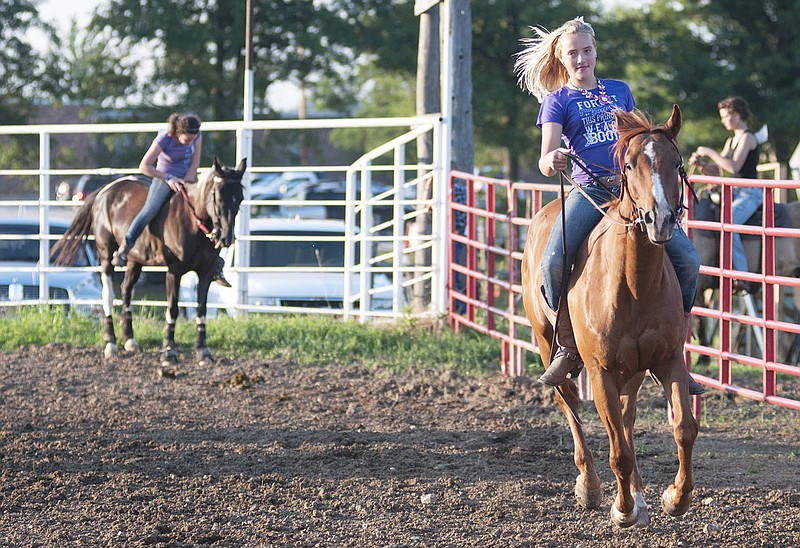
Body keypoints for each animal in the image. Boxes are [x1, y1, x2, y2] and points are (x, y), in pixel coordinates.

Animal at [51, 156, 245, 366]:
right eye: (218, 196)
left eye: (240, 198)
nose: (226, 238)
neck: (193, 222)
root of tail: (105, 190)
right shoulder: (174, 271)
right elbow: (172, 309)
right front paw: (169, 353)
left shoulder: (206, 272)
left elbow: (202, 309)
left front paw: (203, 352)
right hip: (105, 254)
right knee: (108, 295)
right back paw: (110, 343)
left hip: (135, 260)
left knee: (126, 290)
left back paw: (129, 339)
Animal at [520, 105, 696, 528]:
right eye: (629, 165)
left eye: (676, 163)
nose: (660, 220)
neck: (634, 283)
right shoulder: (600, 370)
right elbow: (618, 450)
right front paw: (623, 509)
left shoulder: (667, 359)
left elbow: (683, 429)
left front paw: (674, 498)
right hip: (546, 343)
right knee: (570, 406)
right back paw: (590, 486)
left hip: (632, 369)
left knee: (628, 419)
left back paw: (639, 493)